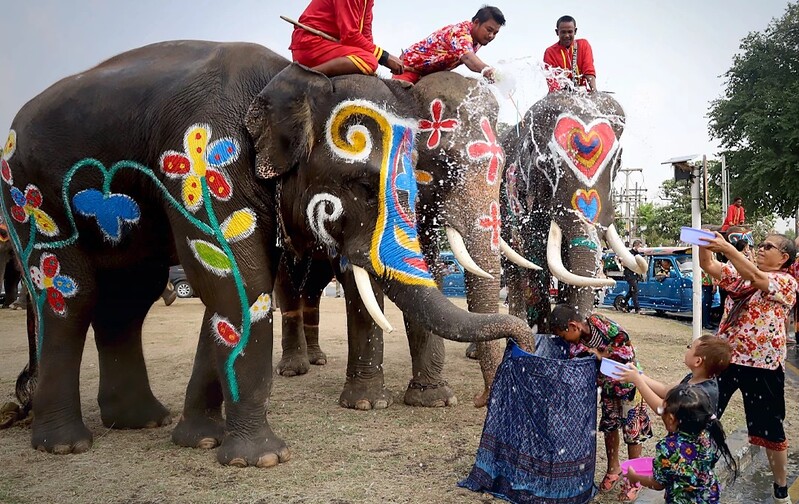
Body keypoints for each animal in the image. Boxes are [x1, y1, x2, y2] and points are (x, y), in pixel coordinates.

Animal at [272, 71, 540, 410]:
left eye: (503, 164)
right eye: (444, 165)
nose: (481, 399)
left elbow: (429, 270)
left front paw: (435, 400)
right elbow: (361, 278)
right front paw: (367, 404)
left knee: (315, 283)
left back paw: (317, 359)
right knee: (290, 278)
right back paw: (294, 369)